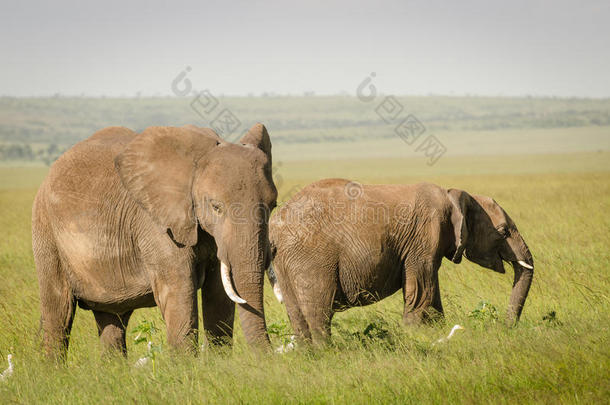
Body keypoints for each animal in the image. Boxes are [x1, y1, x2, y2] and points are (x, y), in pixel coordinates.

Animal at [33, 123, 278, 360]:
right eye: (216, 207)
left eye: (273, 205)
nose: (269, 360)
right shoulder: (157, 224)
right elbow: (180, 293)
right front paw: (186, 368)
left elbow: (219, 295)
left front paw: (219, 364)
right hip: (46, 230)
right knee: (59, 312)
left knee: (112, 319)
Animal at [270, 178, 532, 342]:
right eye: (504, 232)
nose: (507, 328)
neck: (455, 196)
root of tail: (275, 225)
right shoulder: (424, 239)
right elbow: (421, 293)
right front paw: (413, 336)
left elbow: (432, 298)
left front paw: (436, 331)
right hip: (310, 257)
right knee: (318, 311)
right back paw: (326, 352)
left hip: (286, 261)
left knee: (296, 313)